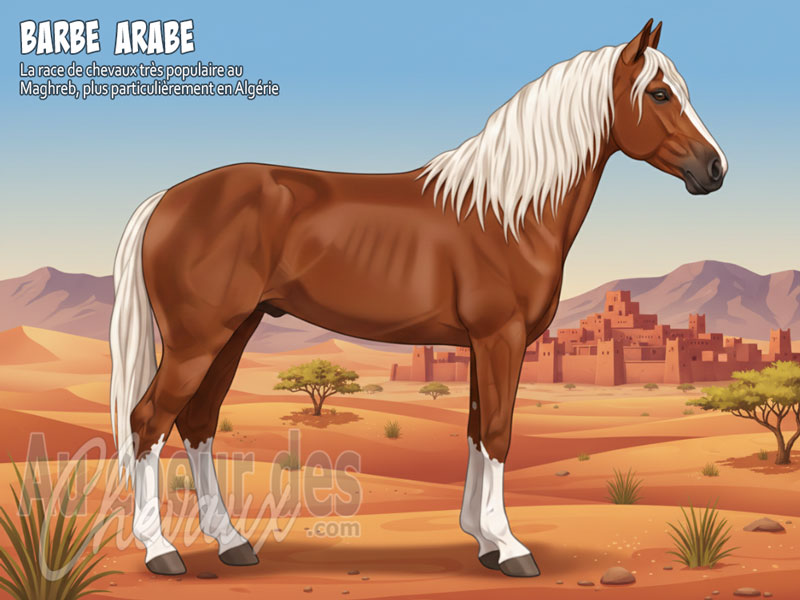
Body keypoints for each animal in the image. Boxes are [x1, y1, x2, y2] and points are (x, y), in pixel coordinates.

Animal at [109, 19, 726, 578]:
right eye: (660, 93)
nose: (715, 168)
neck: (507, 211)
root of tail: (167, 199)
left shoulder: (482, 345)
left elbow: (476, 433)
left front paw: (483, 542)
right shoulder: (500, 338)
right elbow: (497, 435)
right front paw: (511, 548)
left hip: (235, 332)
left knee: (197, 423)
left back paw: (233, 543)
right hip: (197, 340)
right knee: (148, 422)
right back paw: (161, 552)